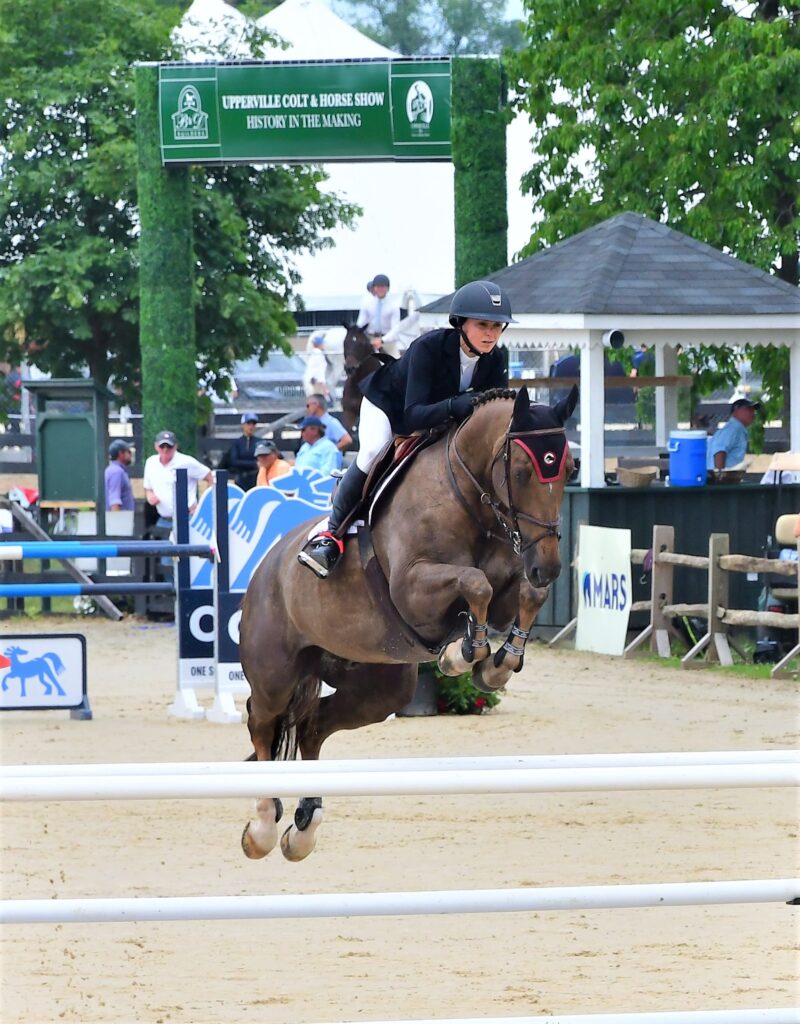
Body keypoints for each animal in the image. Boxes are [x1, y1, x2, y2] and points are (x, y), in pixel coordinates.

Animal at [235, 387, 573, 860]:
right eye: (523, 472)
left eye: (570, 470)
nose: (548, 567)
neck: (470, 501)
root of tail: (266, 567)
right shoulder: (413, 591)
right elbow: (476, 582)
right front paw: (464, 654)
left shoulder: (508, 589)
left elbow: (523, 596)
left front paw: (493, 665)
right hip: (275, 675)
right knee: (262, 725)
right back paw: (263, 827)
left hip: (378, 687)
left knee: (313, 725)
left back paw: (304, 828)